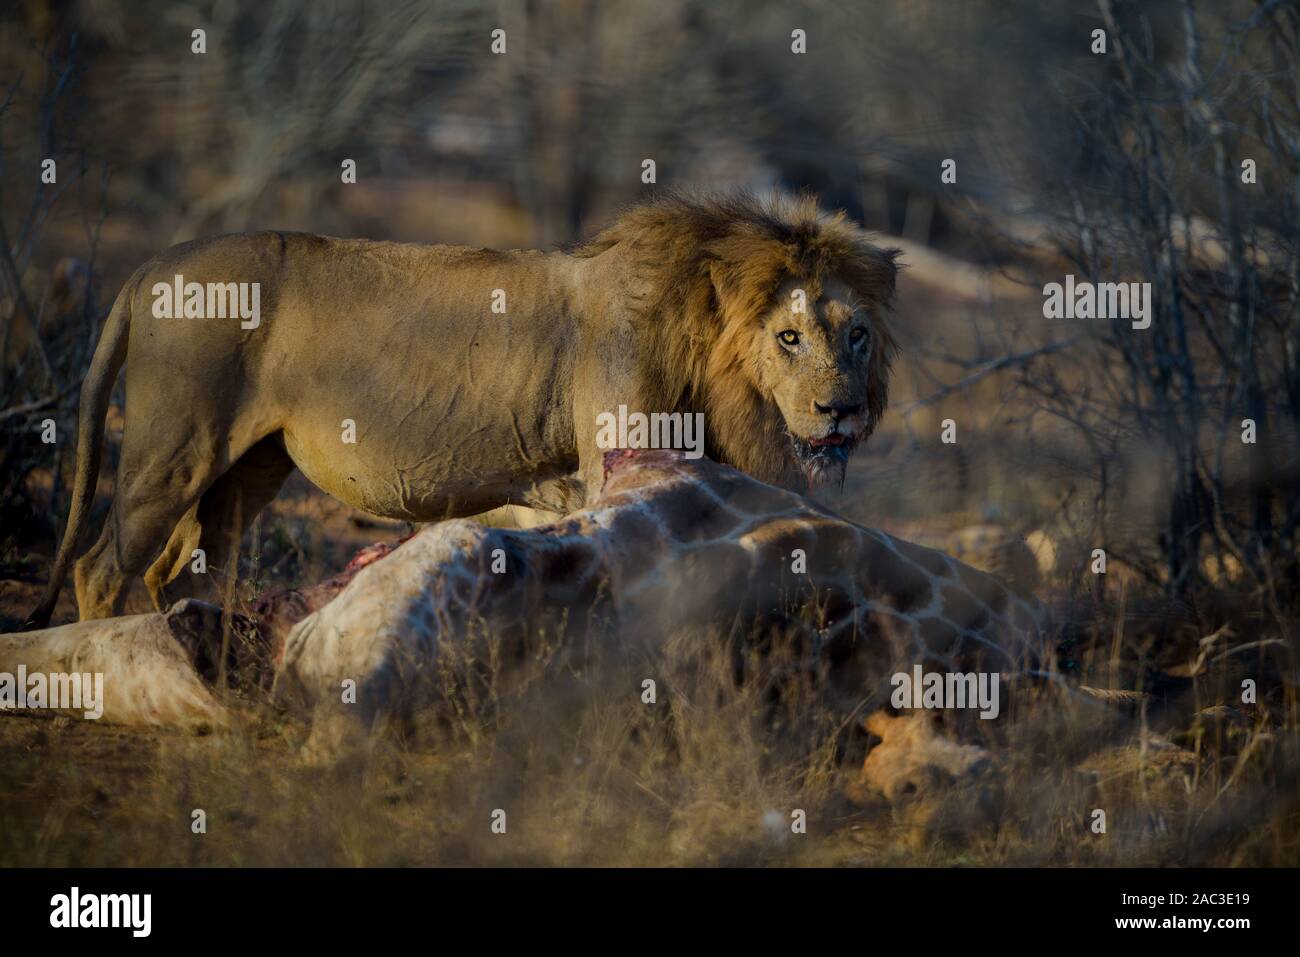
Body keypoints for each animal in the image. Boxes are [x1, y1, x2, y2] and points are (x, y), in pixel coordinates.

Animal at [28, 191, 899, 625]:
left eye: (857, 334)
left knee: (177, 570)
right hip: (175, 447)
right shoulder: (618, 468)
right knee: (100, 567)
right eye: (788, 336)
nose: (841, 411)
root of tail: (150, 268)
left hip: (247, 468)